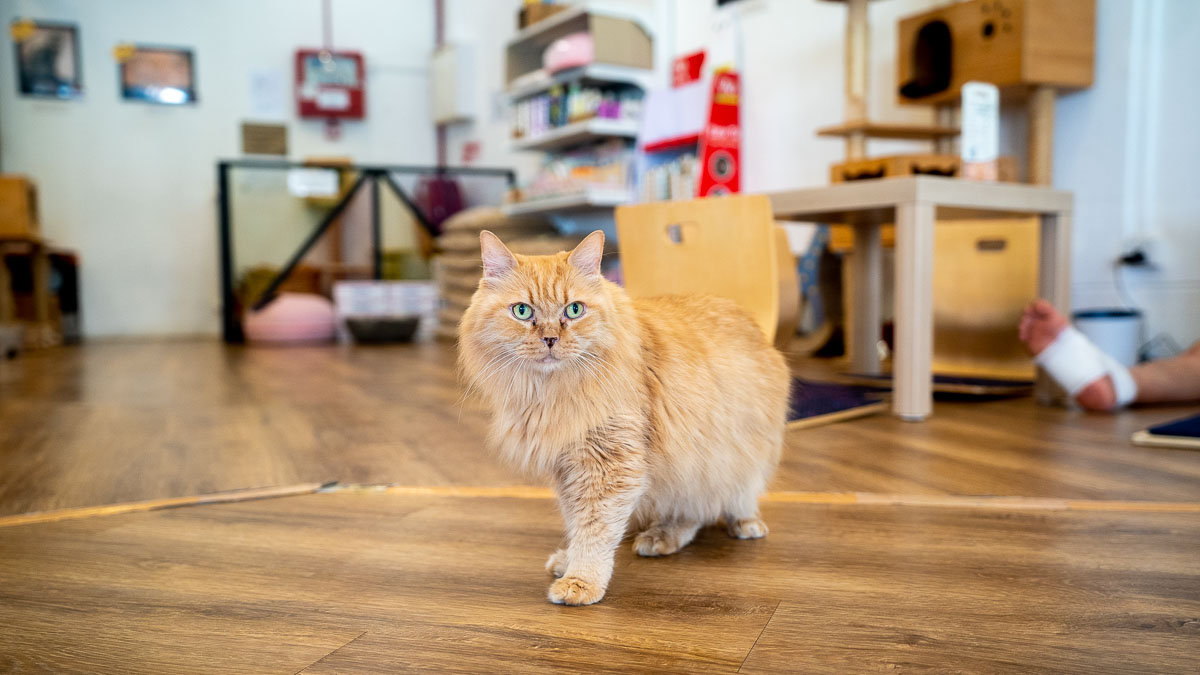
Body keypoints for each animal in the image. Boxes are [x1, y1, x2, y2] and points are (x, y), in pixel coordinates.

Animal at [456, 229, 787, 605]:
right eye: (522, 311)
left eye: (574, 310)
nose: (551, 338)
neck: (551, 392)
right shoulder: (568, 468)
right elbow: (577, 521)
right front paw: (569, 560)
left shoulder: (609, 464)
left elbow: (595, 530)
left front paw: (581, 581)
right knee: (692, 514)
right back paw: (660, 537)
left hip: (724, 461)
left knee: (718, 504)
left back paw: (737, 526)